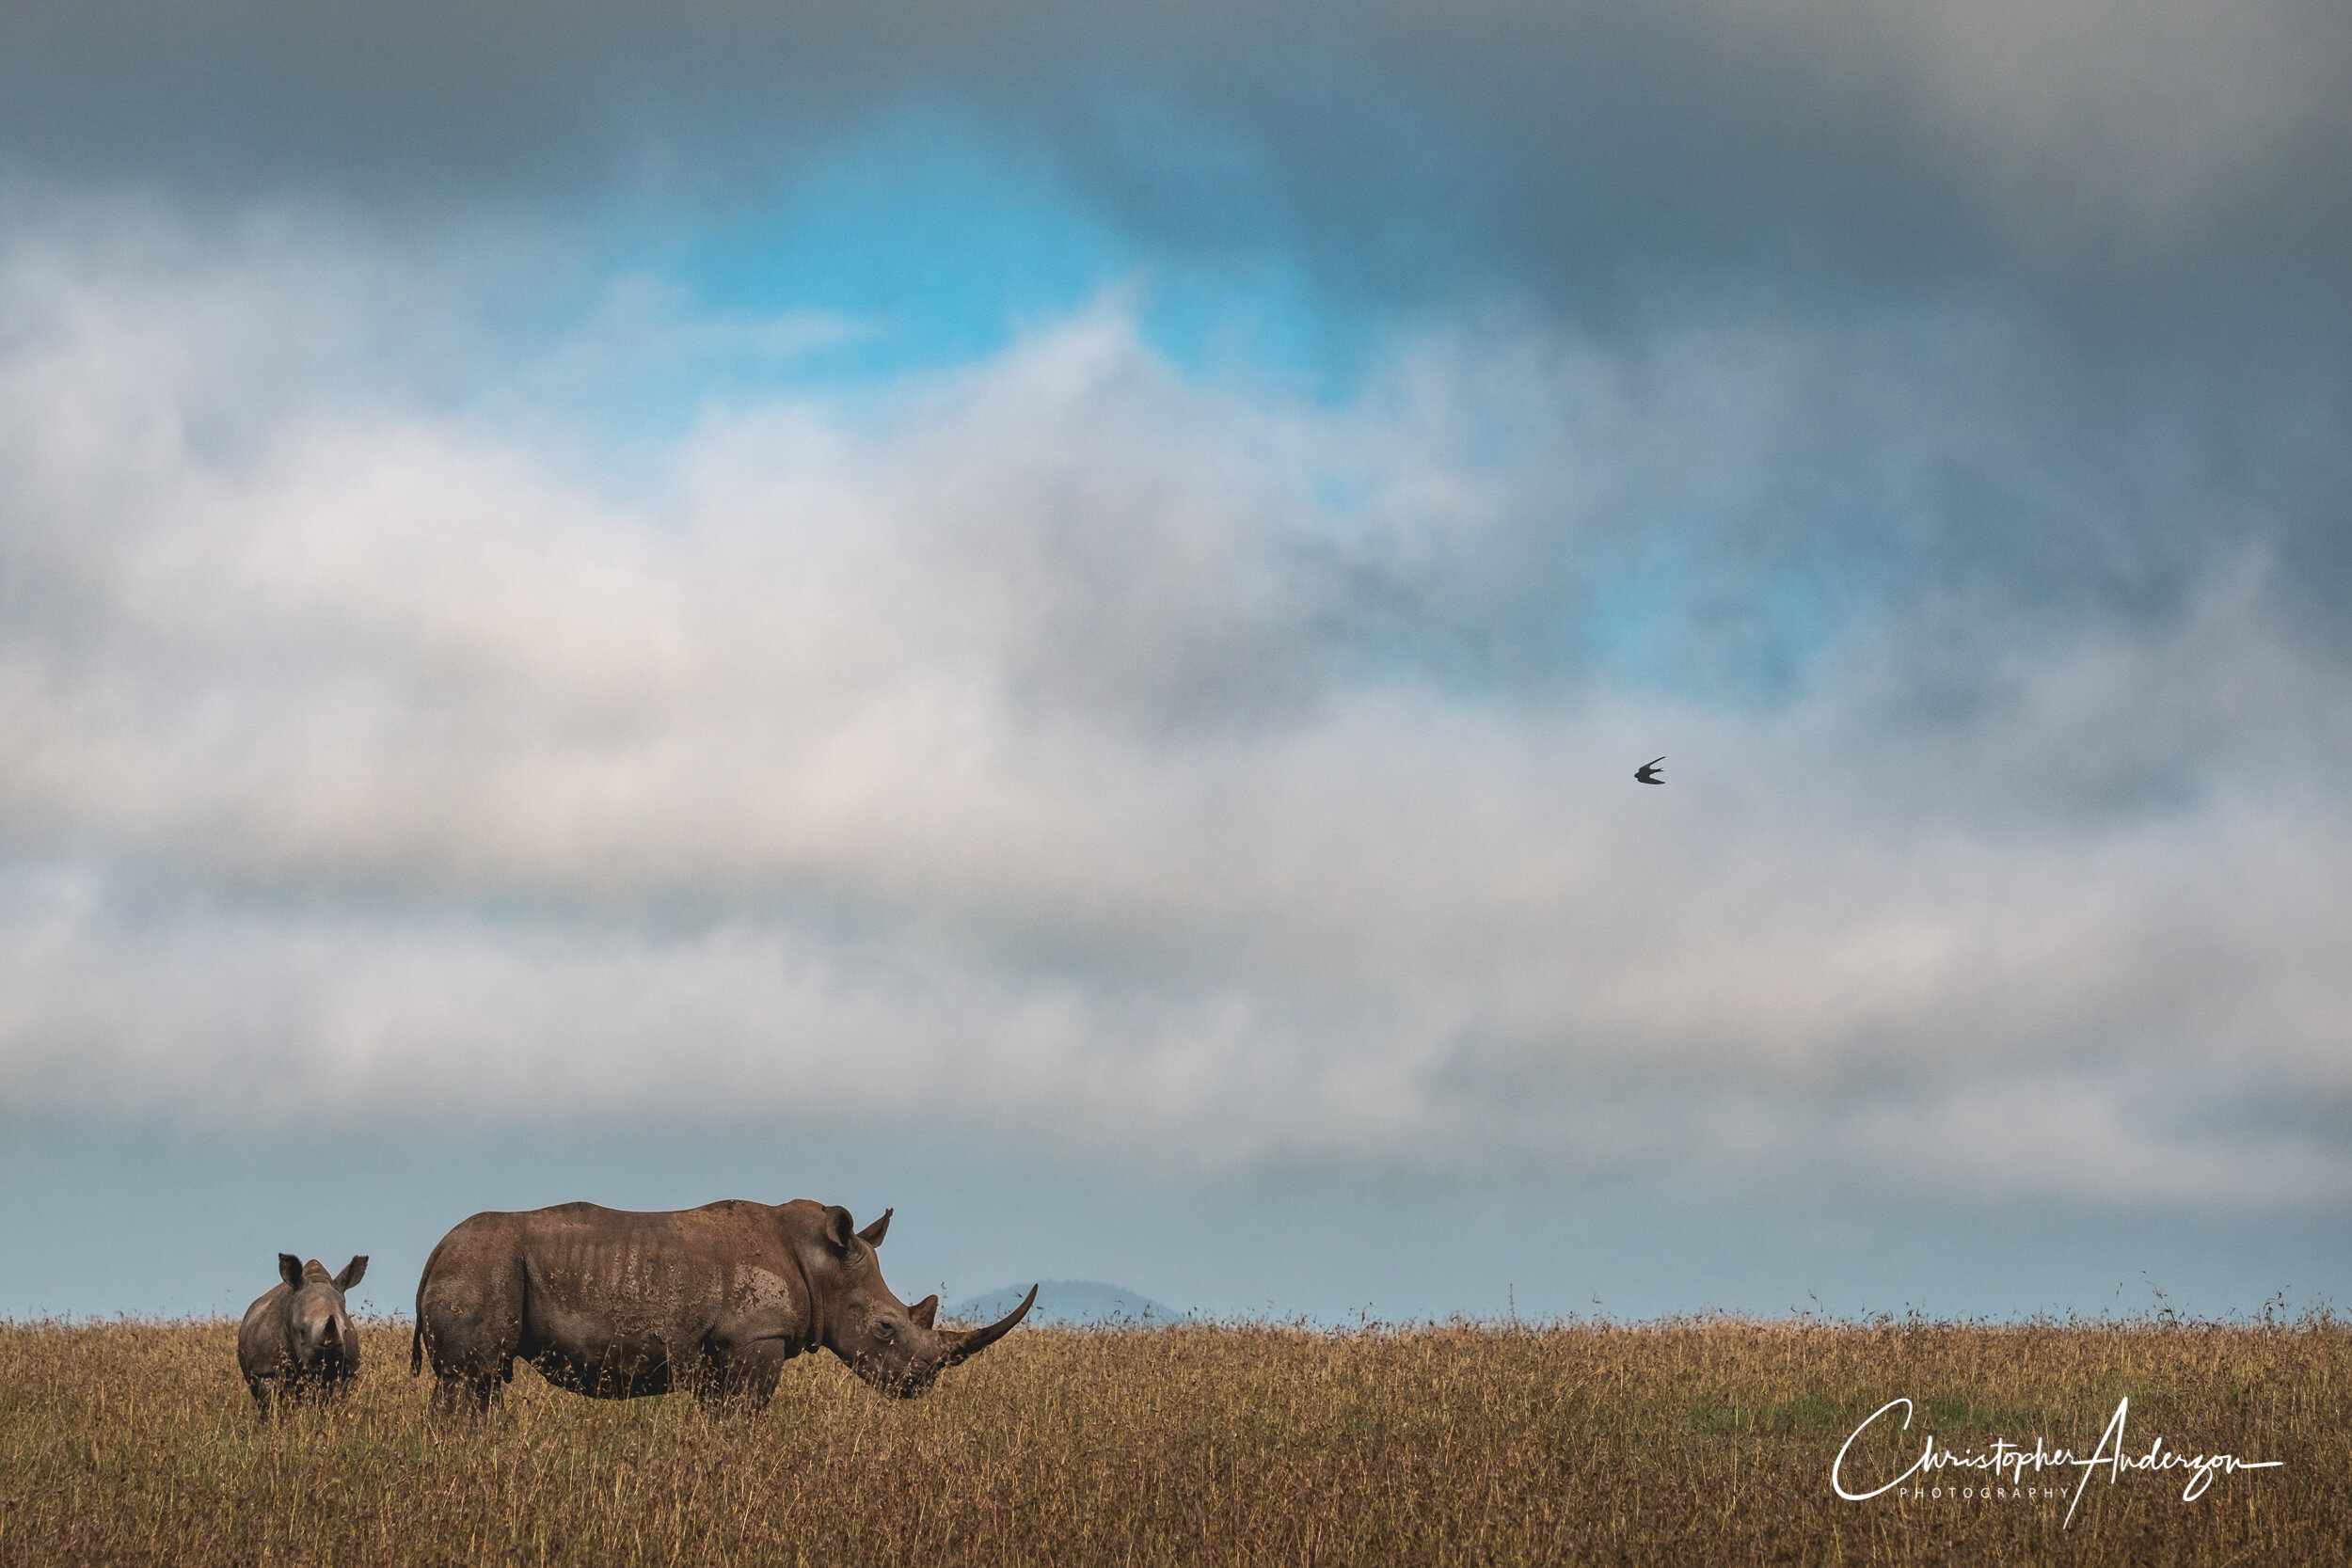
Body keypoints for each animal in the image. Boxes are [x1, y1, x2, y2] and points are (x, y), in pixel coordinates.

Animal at [237, 1254, 367, 1411]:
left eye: (345, 1331)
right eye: (302, 1331)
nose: (329, 1365)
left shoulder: (348, 1374)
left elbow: (335, 1405)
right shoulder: (263, 1371)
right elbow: (271, 1407)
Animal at [410, 1198, 1035, 1415]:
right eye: (885, 1327)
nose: (920, 1385)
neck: (821, 1263)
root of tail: (436, 1248)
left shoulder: (720, 1352)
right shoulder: (755, 1339)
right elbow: (745, 1417)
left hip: (481, 1263)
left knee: (483, 1381)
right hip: (480, 1263)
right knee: (468, 1378)